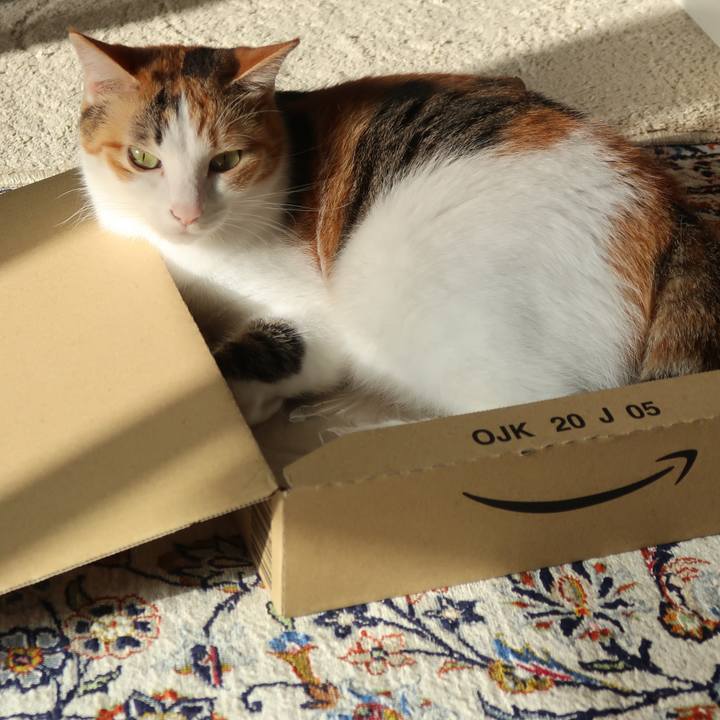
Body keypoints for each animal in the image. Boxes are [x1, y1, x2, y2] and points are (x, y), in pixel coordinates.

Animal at [70, 32, 720, 428]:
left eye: (226, 161)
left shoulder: (315, 317)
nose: (186, 213)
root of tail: (671, 205)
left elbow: (252, 355)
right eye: (144, 160)